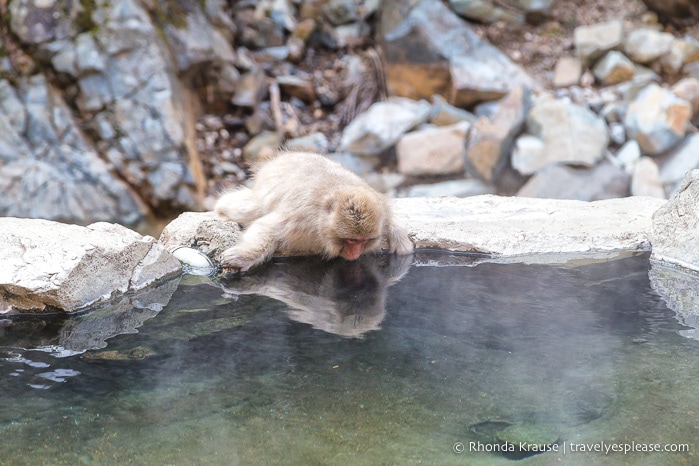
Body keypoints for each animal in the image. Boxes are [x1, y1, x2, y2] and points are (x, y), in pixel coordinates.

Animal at [216, 152, 412, 274]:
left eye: (362, 241)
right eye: (351, 240)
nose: (355, 253)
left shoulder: (381, 208)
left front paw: (400, 241)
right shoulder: (302, 221)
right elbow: (267, 227)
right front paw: (244, 257)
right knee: (252, 208)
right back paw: (221, 209)